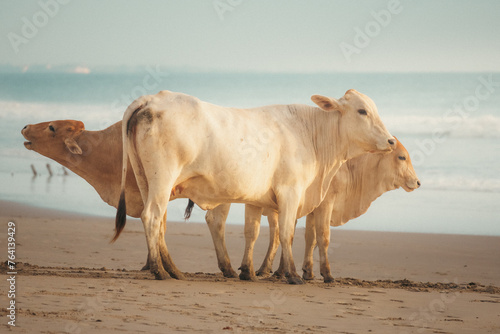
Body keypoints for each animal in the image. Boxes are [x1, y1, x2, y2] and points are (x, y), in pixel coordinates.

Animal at [116, 87, 394, 284]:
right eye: (362, 111)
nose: (391, 141)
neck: (311, 134)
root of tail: (152, 99)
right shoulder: (290, 192)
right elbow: (286, 233)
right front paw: (292, 274)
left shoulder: (256, 198)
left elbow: (253, 232)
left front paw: (248, 271)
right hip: (162, 178)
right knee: (152, 217)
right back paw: (160, 271)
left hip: (146, 180)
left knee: (160, 222)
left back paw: (174, 270)